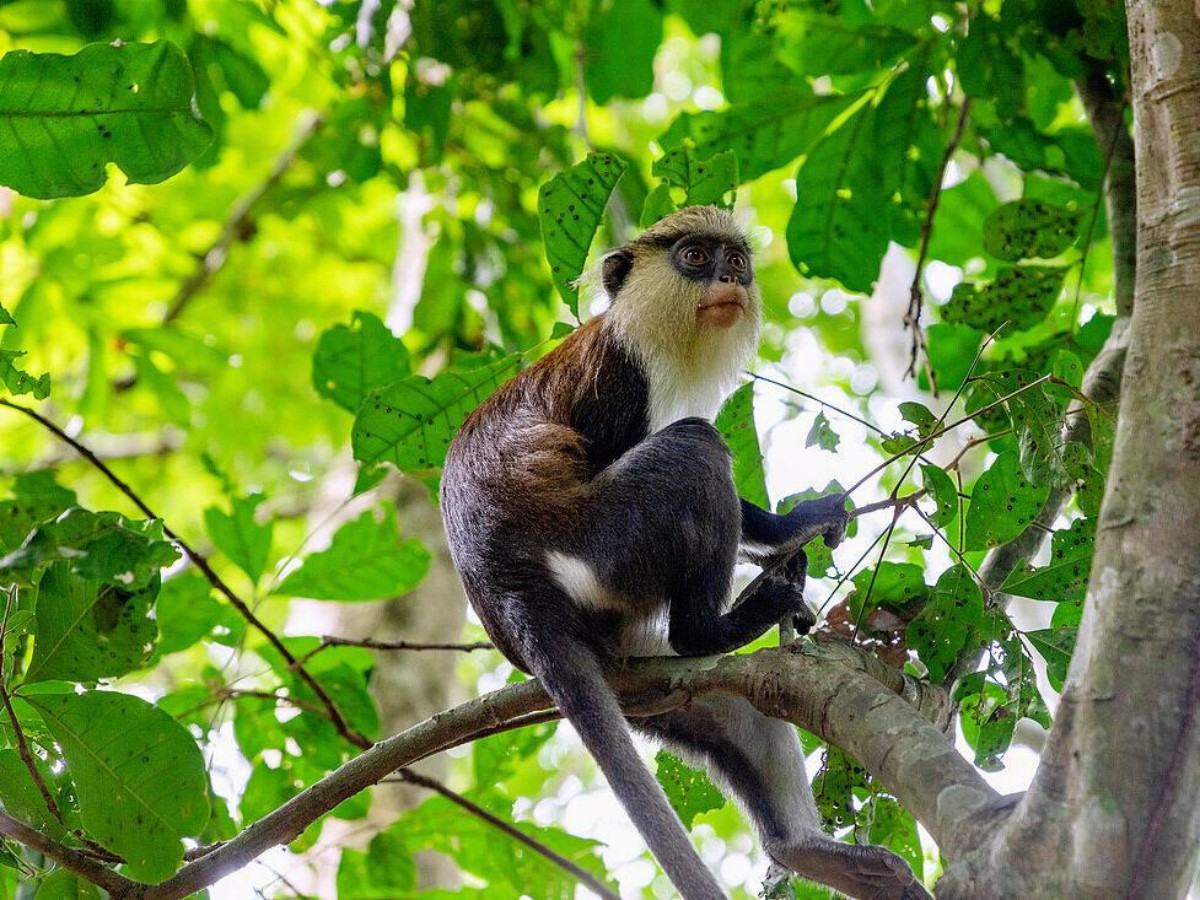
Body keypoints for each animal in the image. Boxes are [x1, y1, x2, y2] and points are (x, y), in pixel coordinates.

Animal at [440, 206, 929, 900]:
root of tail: (508, 593)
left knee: (740, 709)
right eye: (695, 257)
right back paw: (715, 626)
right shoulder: (620, 375)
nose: (726, 278)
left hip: (645, 682)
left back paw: (808, 853)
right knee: (694, 449)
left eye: (735, 261)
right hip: (610, 546)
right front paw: (788, 537)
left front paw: (799, 524)